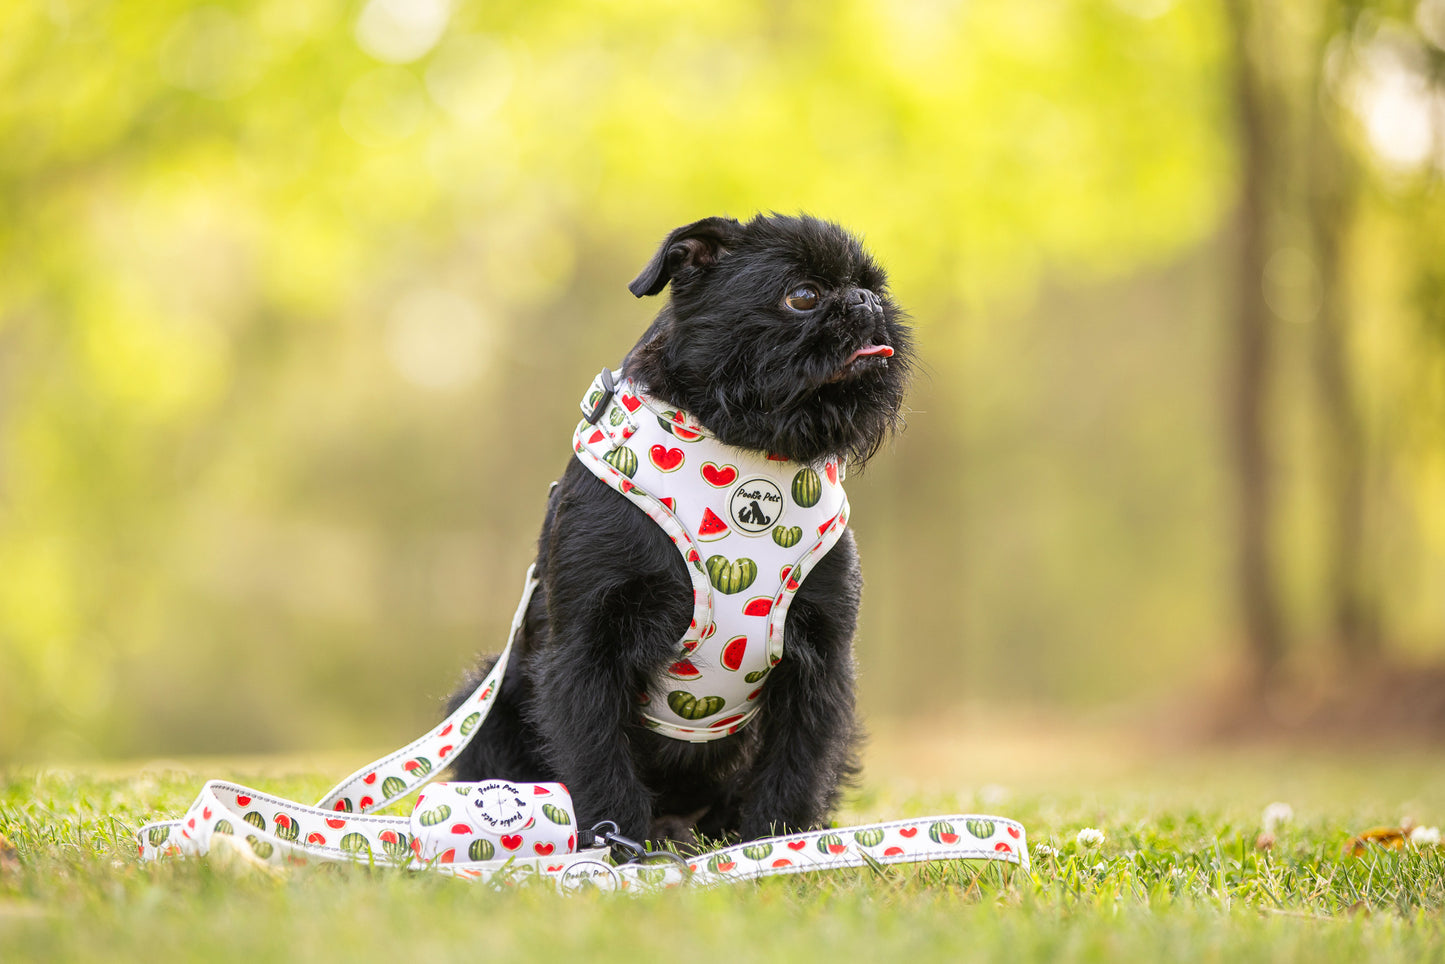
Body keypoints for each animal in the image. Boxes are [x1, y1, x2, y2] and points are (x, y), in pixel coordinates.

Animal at [445, 216, 907, 844]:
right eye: (804, 295)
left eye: (874, 287)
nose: (866, 301)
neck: (749, 449)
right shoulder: (586, 651)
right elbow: (598, 760)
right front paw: (619, 847)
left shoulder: (822, 661)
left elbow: (796, 767)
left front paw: (774, 845)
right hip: (483, 701)